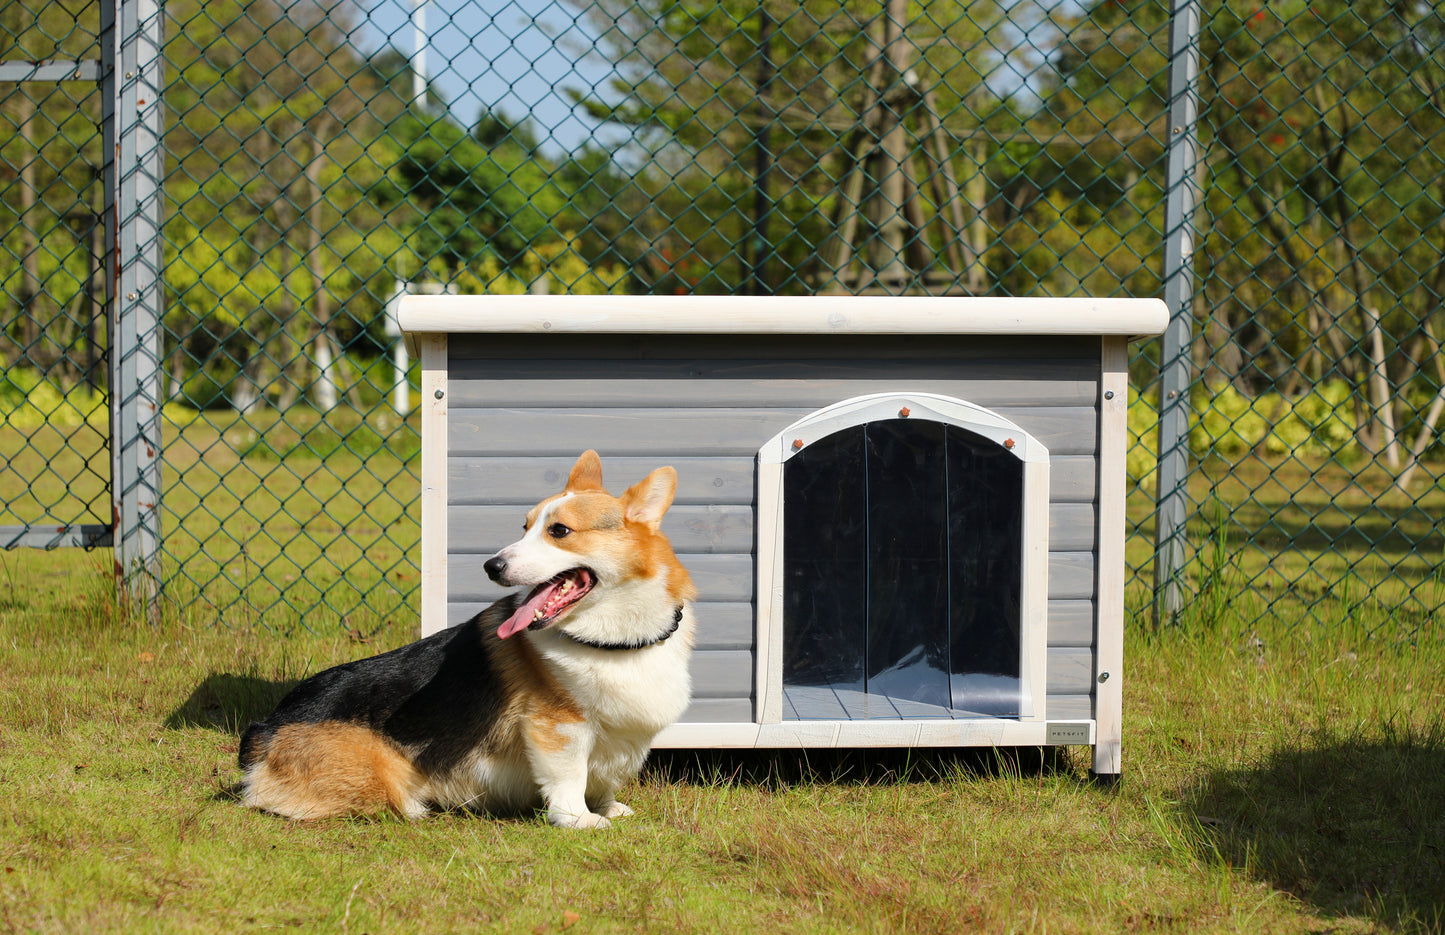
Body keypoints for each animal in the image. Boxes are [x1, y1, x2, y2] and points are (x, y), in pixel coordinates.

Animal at [238, 450, 699, 832]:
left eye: (559, 530)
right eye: (524, 527)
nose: (491, 566)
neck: (617, 641)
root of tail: (264, 729)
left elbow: (603, 779)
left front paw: (607, 808)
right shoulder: (559, 727)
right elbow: (569, 779)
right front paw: (580, 820)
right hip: (383, 778)